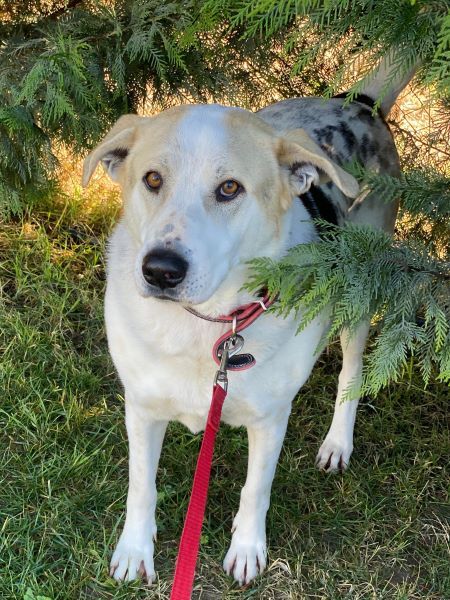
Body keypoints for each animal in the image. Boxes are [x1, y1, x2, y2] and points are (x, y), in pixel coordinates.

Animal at [82, 57, 414, 585]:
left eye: (229, 188)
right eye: (152, 179)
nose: (160, 270)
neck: (205, 327)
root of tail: (360, 104)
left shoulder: (270, 418)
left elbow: (255, 489)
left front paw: (246, 550)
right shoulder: (142, 408)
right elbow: (141, 486)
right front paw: (135, 550)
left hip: (359, 290)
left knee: (352, 370)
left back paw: (337, 442)